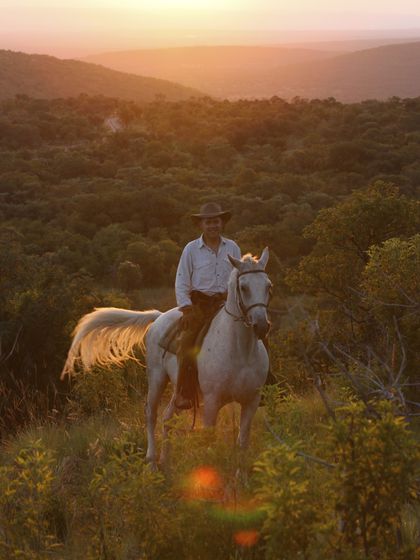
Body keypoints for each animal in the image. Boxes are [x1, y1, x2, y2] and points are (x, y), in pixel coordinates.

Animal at [62, 248, 272, 464]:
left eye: (268, 286)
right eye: (244, 287)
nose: (261, 326)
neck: (239, 351)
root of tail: (159, 317)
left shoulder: (251, 401)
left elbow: (242, 444)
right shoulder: (212, 402)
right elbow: (210, 444)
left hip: (180, 390)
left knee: (167, 418)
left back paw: (165, 460)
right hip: (157, 379)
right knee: (151, 413)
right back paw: (152, 459)